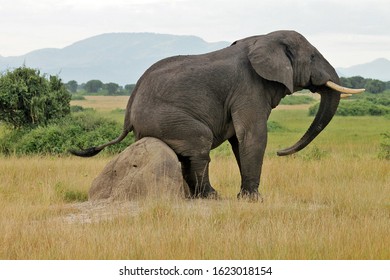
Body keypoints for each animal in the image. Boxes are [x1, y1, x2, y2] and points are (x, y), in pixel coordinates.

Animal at [69, 30, 362, 201]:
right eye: (312, 57)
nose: (282, 152)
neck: (263, 38)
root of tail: (129, 110)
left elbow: (239, 140)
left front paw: (247, 196)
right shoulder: (249, 86)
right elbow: (252, 135)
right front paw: (253, 200)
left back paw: (195, 196)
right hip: (164, 117)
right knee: (200, 144)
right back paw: (210, 196)